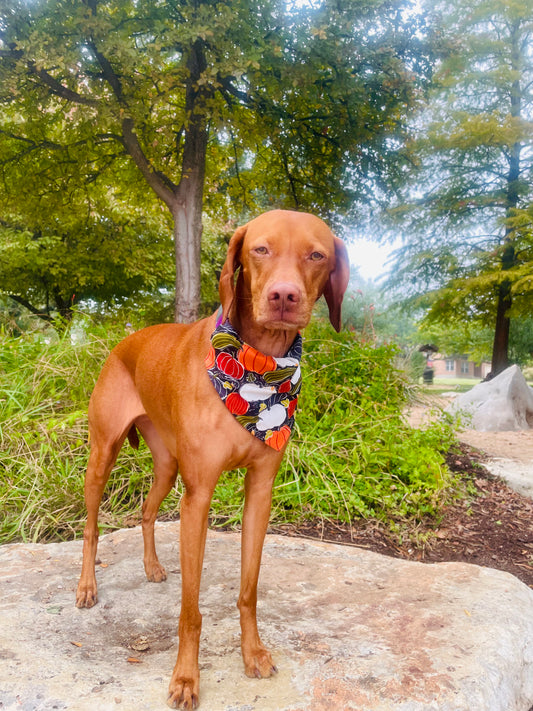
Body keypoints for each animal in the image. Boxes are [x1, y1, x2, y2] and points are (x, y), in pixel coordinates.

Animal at [75, 209, 350, 708]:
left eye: (317, 255)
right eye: (260, 249)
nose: (284, 296)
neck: (258, 367)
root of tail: (126, 342)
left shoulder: (260, 492)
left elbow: (249, 590)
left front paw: (253, 651)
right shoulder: (198, 497)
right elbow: (191, 610)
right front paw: (186, 678)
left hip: (167, 466)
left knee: (146, 510)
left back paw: (151, 566)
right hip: (103, 455)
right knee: (91, 527)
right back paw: (87, 586)